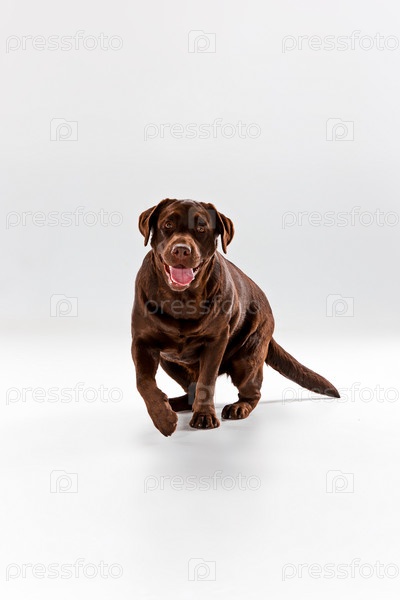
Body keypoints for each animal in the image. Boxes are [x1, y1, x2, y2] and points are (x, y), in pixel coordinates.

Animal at [131, 199, 339, 436]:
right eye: (167, 225)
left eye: (201, 229)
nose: (182, 250)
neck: (181, 300)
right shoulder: (141, 342)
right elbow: (143, 382)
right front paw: (163, 417)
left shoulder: (215, 342)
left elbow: (206, 382)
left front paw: (204, 415)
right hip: (170, 361)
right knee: (190, 390)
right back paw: (173, 403)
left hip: (247, 359)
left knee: (251, 392)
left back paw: (238, 407)